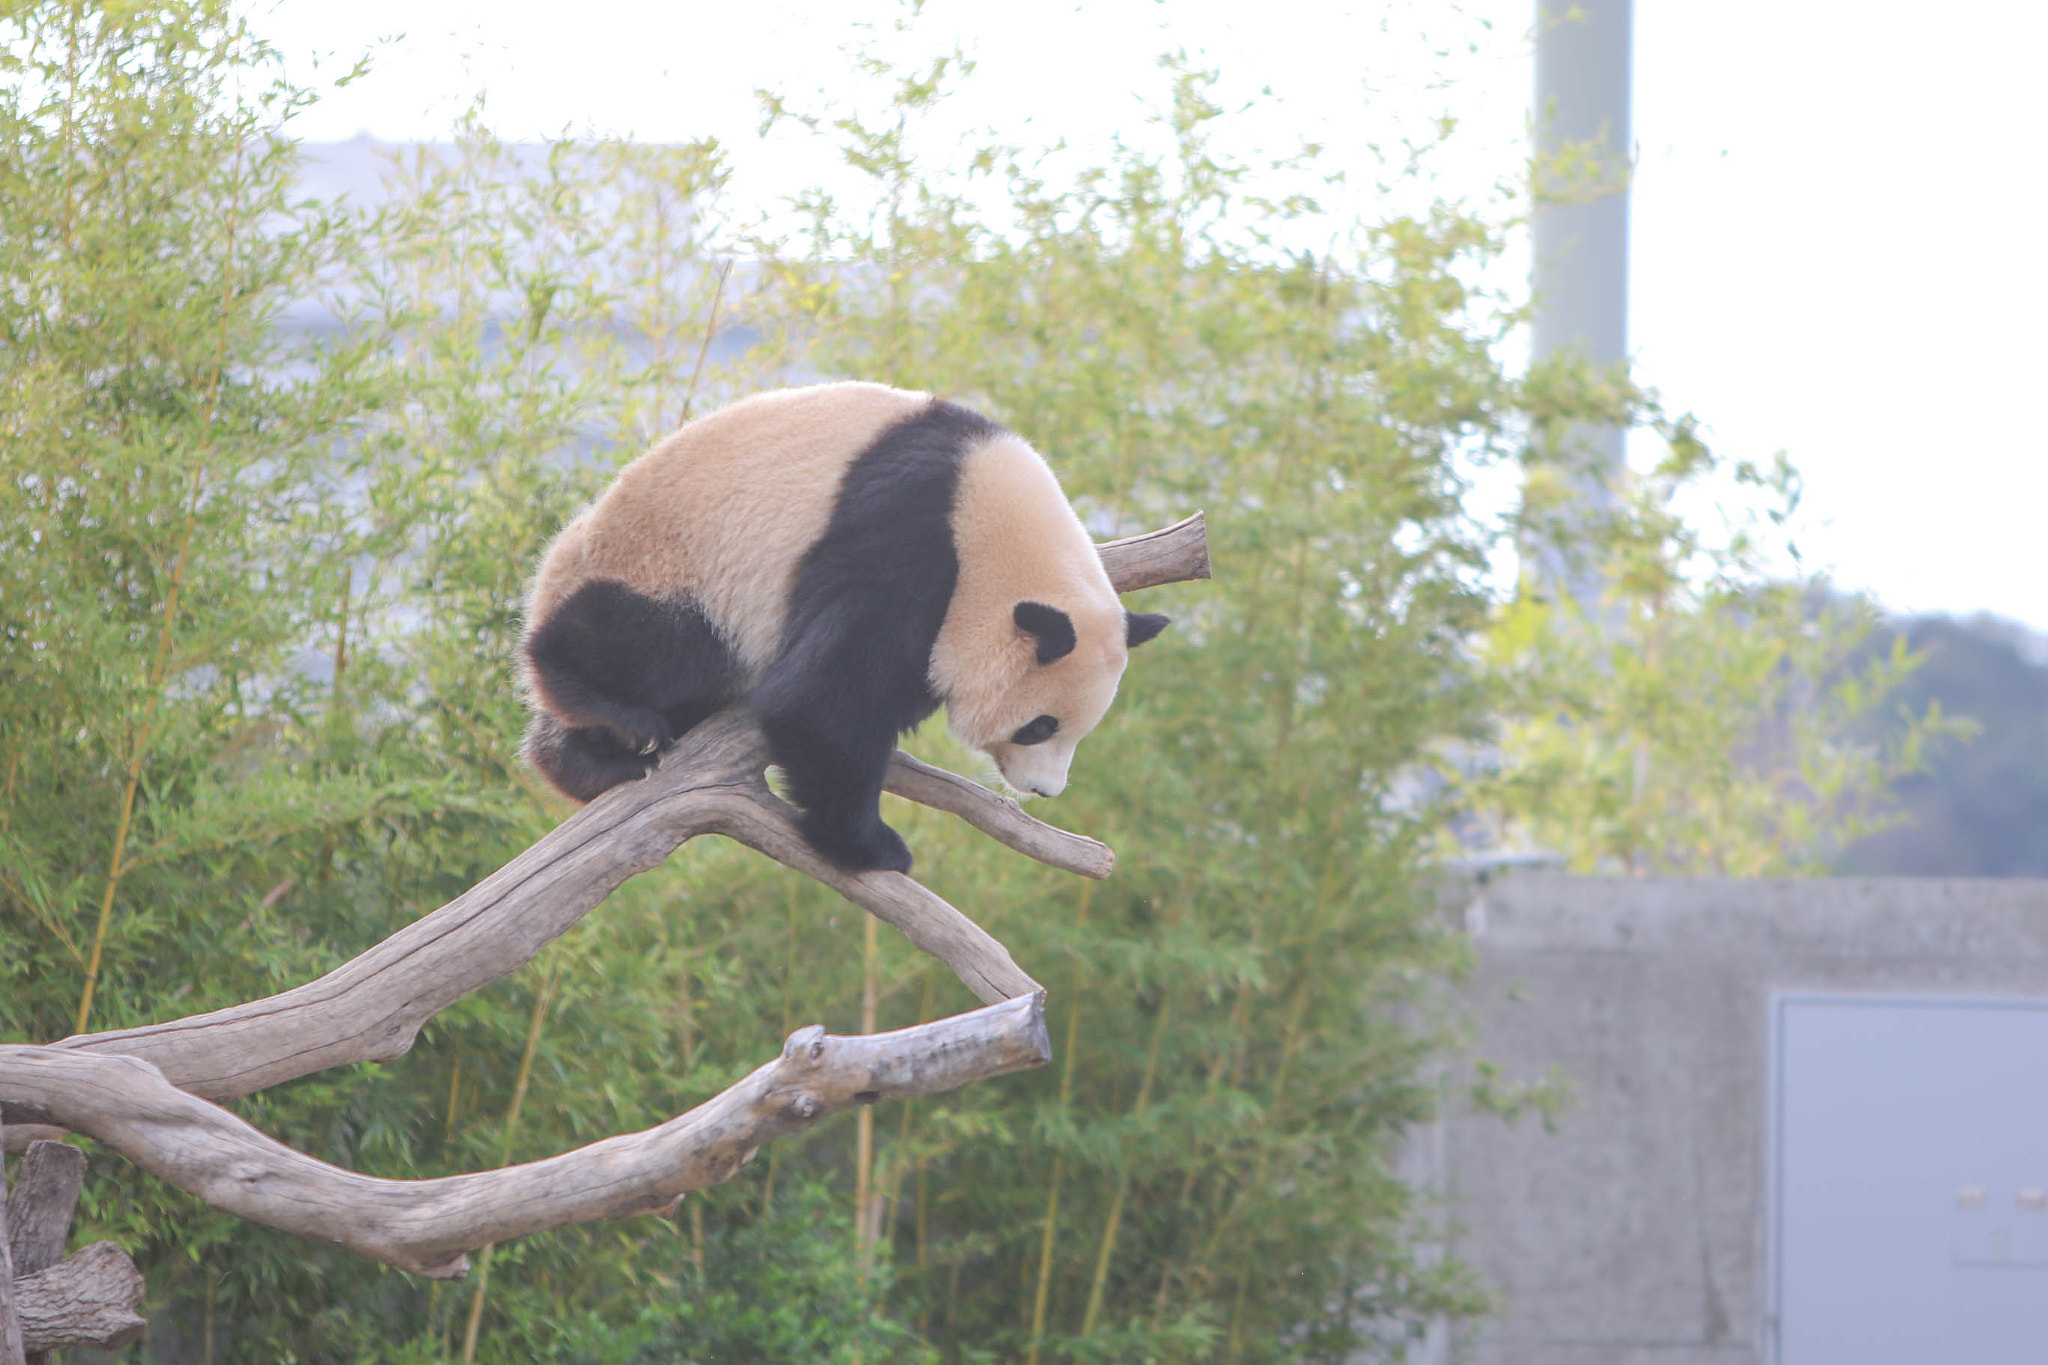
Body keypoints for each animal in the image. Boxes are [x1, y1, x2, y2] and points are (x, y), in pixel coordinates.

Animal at [519, 381, 1168, 874]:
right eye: (1040, 726)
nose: (1045, 791)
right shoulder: (904, 532)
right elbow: (821, 702)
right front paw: (870, 847)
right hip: (667, 569)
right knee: (650, 645)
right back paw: (609, 727)